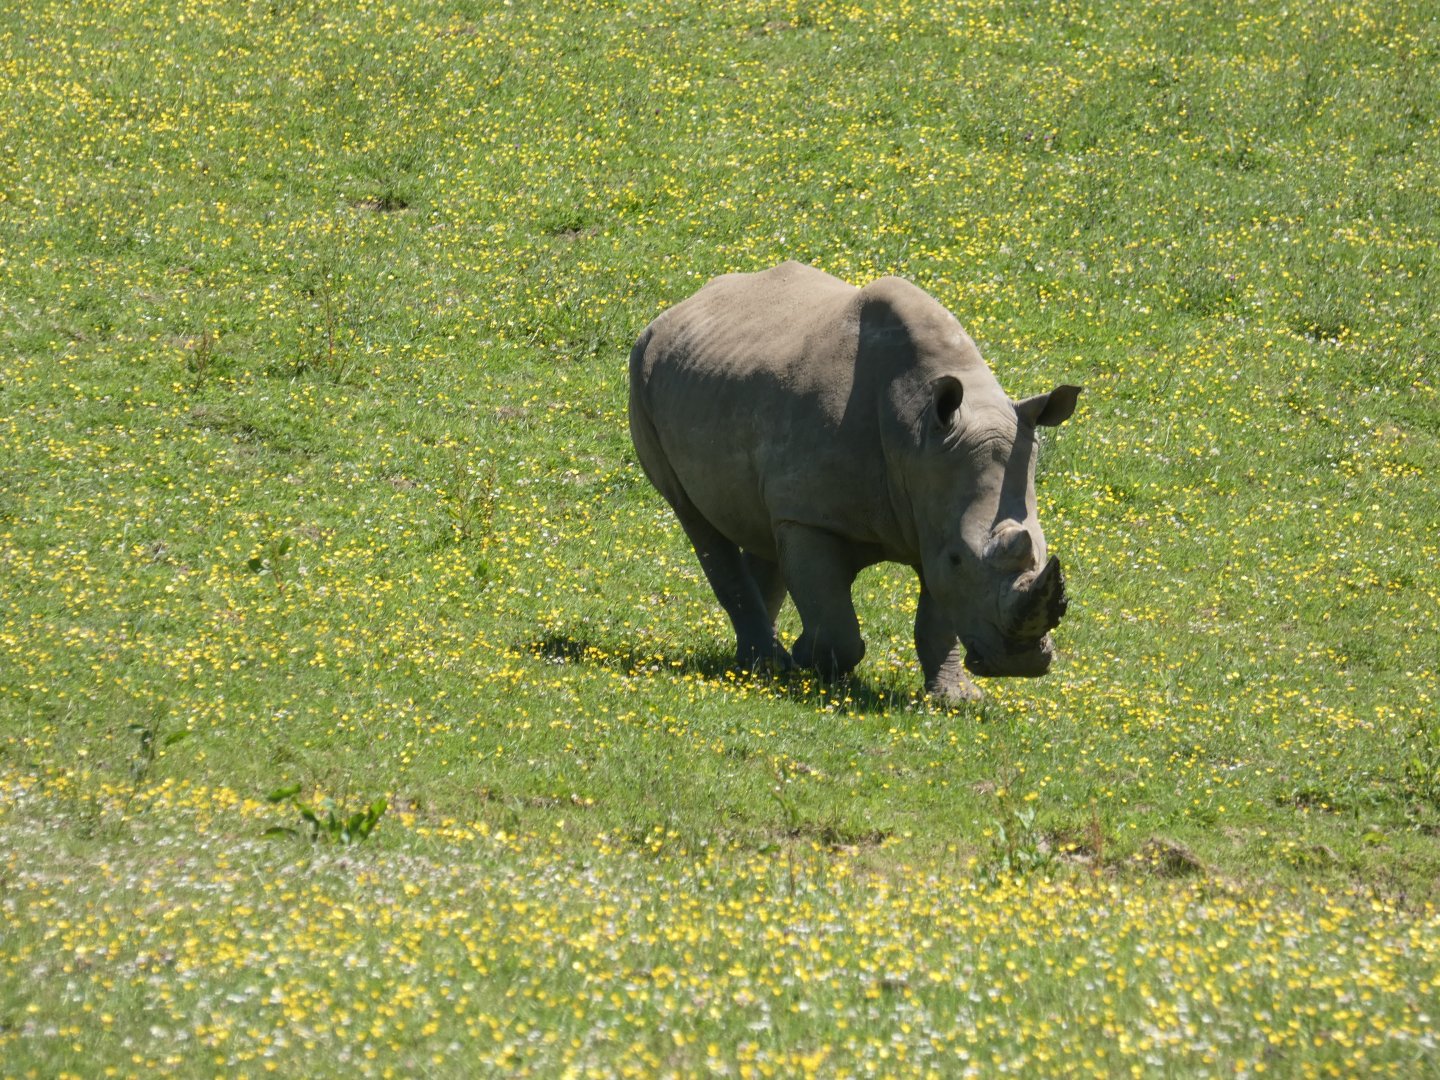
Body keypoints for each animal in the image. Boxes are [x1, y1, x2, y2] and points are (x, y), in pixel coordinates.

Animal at [627, 261, 1081, 703]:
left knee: (760, 522)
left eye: (1043, 552)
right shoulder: (813, 517)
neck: (917, 435)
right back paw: (769, 664)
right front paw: (812, 659)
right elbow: (836, 623)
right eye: (959, 558)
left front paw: (956, 699)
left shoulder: (933, 515)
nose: (1019, 664)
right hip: (641, 375)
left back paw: (755, 665)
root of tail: (682, 306)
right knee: (696, 519)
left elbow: (937, 616)